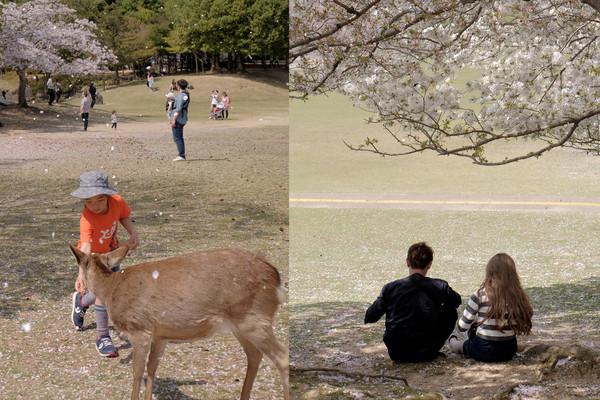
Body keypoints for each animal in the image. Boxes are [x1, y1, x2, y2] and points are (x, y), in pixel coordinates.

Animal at [69, 244, 290, 400]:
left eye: (79, 268)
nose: (79, 285)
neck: (110, 290)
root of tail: (276, 278)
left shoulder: (139, 328)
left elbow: (137, 371)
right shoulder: (160, 335)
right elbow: (152, 368)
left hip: (254, 317)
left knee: (282, 356)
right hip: (241, 323)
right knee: (254, 355)